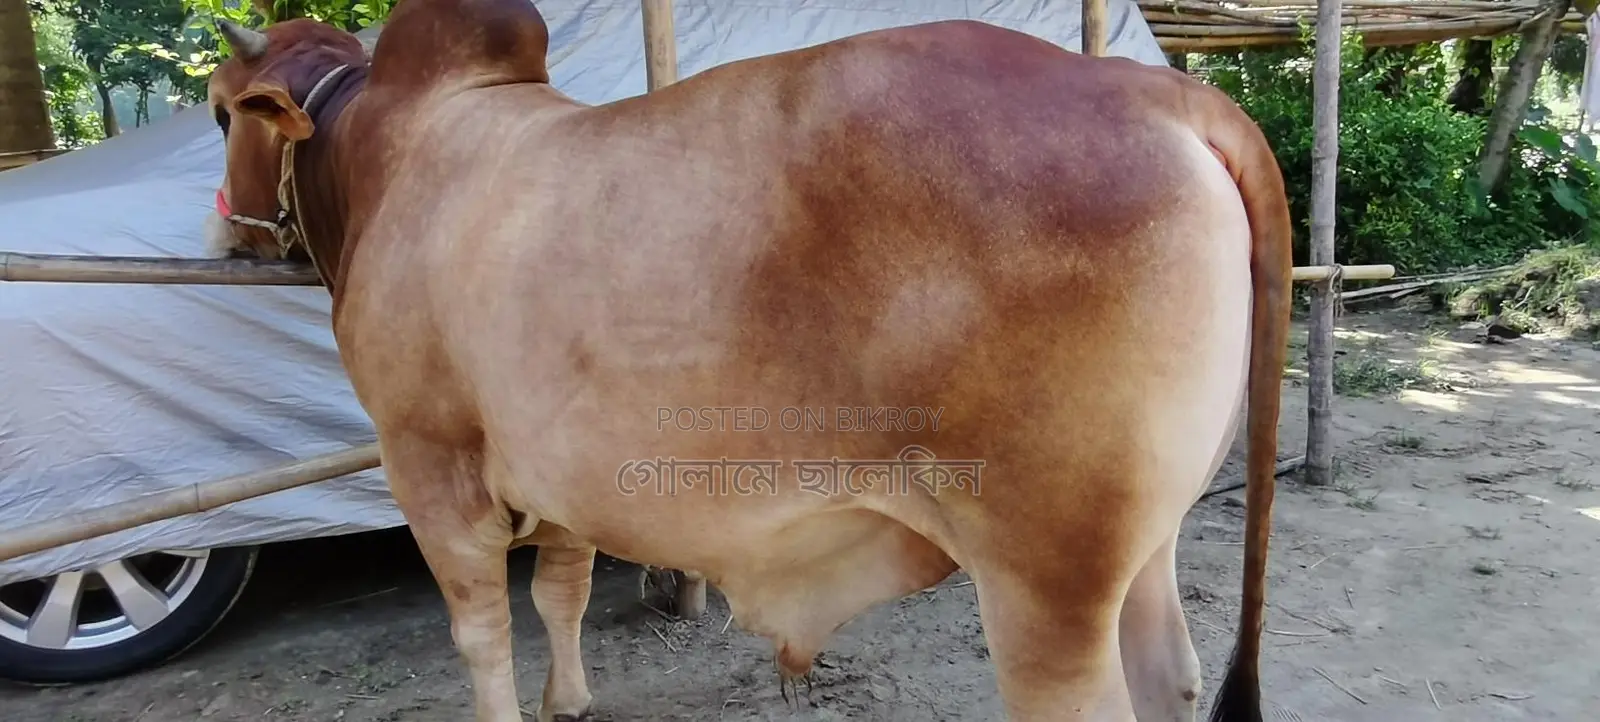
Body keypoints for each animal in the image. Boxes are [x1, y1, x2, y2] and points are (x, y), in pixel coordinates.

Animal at [203, 1, 1292, 720]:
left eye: (220, 115)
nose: (226, 234)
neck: (382, 156)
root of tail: (1157, 93)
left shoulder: (426, 457)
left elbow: (479, 631)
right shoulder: (558, 477)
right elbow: (560, 593)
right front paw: (571, 700)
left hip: (1046, 589)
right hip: (1145, 549)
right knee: (1173, 672)